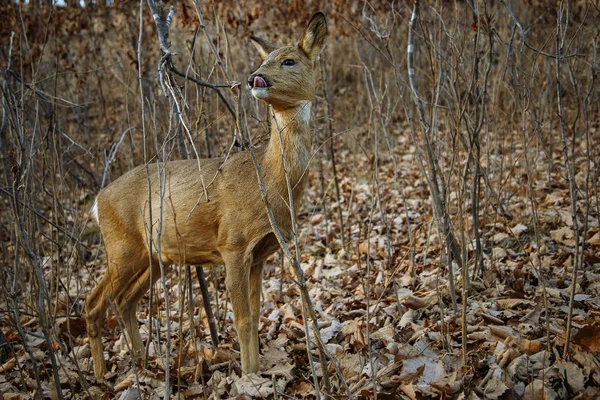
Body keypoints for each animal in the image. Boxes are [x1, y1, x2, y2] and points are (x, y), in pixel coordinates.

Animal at [83, 11, 328, 376]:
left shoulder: (261, 253)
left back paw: (143, 362)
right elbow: (242, 321)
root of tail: (99, 202)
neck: (270, 181)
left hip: (156, 256)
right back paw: (101, 374)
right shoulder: (233, 243)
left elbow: (255, 317)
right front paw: (250, 375)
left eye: (289, 60)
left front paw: (256, 370)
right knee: (93, 302)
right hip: (121, 247)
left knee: (125, 301)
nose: (254, 78)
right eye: (264, 59)